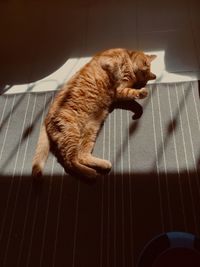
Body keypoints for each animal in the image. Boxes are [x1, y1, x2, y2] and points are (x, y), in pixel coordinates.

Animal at [32, 49, 156, 181]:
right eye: (145, 64)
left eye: (145, 75)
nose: (145, 71)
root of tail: (46, 118)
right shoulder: (108, 61)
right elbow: (114, 67)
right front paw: (119, 74)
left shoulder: (119, 92)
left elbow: (131, 92)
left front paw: (141, 94)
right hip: (72, 132)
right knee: (69, 161)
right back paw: (90, 173)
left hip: (89, 130)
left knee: (80, 156)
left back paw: (102, 165)